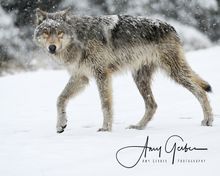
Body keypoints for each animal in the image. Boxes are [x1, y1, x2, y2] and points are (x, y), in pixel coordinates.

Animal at [33, 7, 213, 132]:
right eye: (46, 32)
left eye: (60, 32)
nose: (52, 47)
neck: (79, 39)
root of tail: (171, 27)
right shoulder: (81, 77)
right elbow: (60, 99)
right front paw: (60, 125)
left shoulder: (102, 75)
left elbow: (105, 104)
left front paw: (106, 128)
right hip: (140, 78)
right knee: (152, 105)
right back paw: (138, 127)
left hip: (174, 73)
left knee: (201, 92)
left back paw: (208, 120)